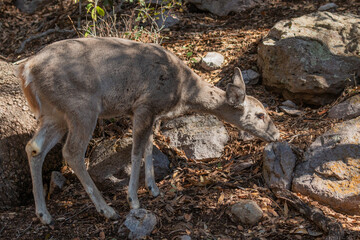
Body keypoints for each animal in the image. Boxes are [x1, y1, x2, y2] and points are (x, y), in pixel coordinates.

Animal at [16, 37, 282, 225]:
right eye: (260, 114)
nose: (277, 135)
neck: (183, 91)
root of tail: (27, 69)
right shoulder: (144, 105)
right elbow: (135, 152)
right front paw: (133, 201)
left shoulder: (152, 113)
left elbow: (148, 148)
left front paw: (154, 189)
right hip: (81, 107)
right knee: (72, 152)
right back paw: (107, 210)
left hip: (55, 113)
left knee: (33, 147)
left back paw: (44, 215)